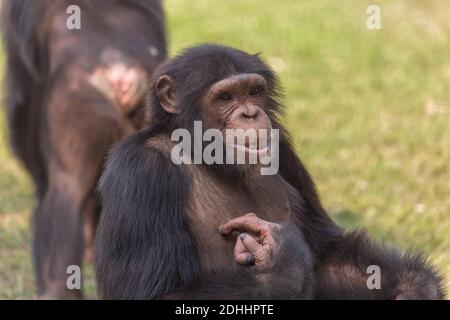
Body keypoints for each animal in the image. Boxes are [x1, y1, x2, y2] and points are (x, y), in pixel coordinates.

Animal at [95, 43, 442, 298]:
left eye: (253, 91)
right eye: (225, 97)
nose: (250, 114)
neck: (209, 159)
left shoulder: (283, 149)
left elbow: (327, 255)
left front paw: (416, 287)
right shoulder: (140, 172)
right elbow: (153, 292)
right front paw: (282, 262)